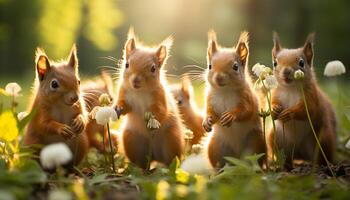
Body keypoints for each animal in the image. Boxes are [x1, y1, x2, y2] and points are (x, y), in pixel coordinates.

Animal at [113, 28, 185, 169]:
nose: (135, 80)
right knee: (140, 162)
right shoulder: (124, 92)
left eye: (153, 68)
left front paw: (152, 121)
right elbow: (125, 106)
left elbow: (162, 111)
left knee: (171, 161)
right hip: (130, 139)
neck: (139, 91)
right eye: (127, 64)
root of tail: (154, 156)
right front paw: (118, 108)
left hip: (172, 138)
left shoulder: (160, 96)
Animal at [202, 29, 266, 167]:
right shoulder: (210, 99)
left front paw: (231, 115)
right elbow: (210, 112)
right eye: (210, 66)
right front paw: (207, 121)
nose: (219, 77)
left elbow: (247, 111)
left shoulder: (247, 97)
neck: (224, 91)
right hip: (216, 146)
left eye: (235, 67)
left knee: (253, 159)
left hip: (255, 141)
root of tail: (237, 158)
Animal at [268, 33, 336, 169]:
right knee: (284, 156)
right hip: (276, 137)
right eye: (275, 63)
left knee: (321, 157)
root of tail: (299, 153)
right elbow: (272, 103)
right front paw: (274, 109)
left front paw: (290, 113)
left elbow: (309, 109)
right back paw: (283, 165)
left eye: (301, 62)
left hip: (322, 139)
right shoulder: (276, 93)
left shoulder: (311, 95)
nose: (286, 71)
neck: (290, 88)